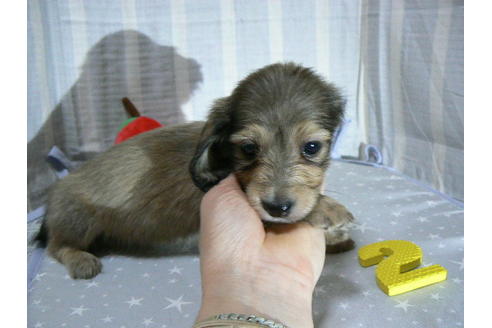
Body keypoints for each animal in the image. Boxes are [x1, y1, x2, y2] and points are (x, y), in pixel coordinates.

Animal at [36, 62, 356, 278]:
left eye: (311, 147)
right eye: (248, 149)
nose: (277, 206)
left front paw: (336, 238)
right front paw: (328, 210)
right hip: (77, 218)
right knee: (56, 246)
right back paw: (80, 260)